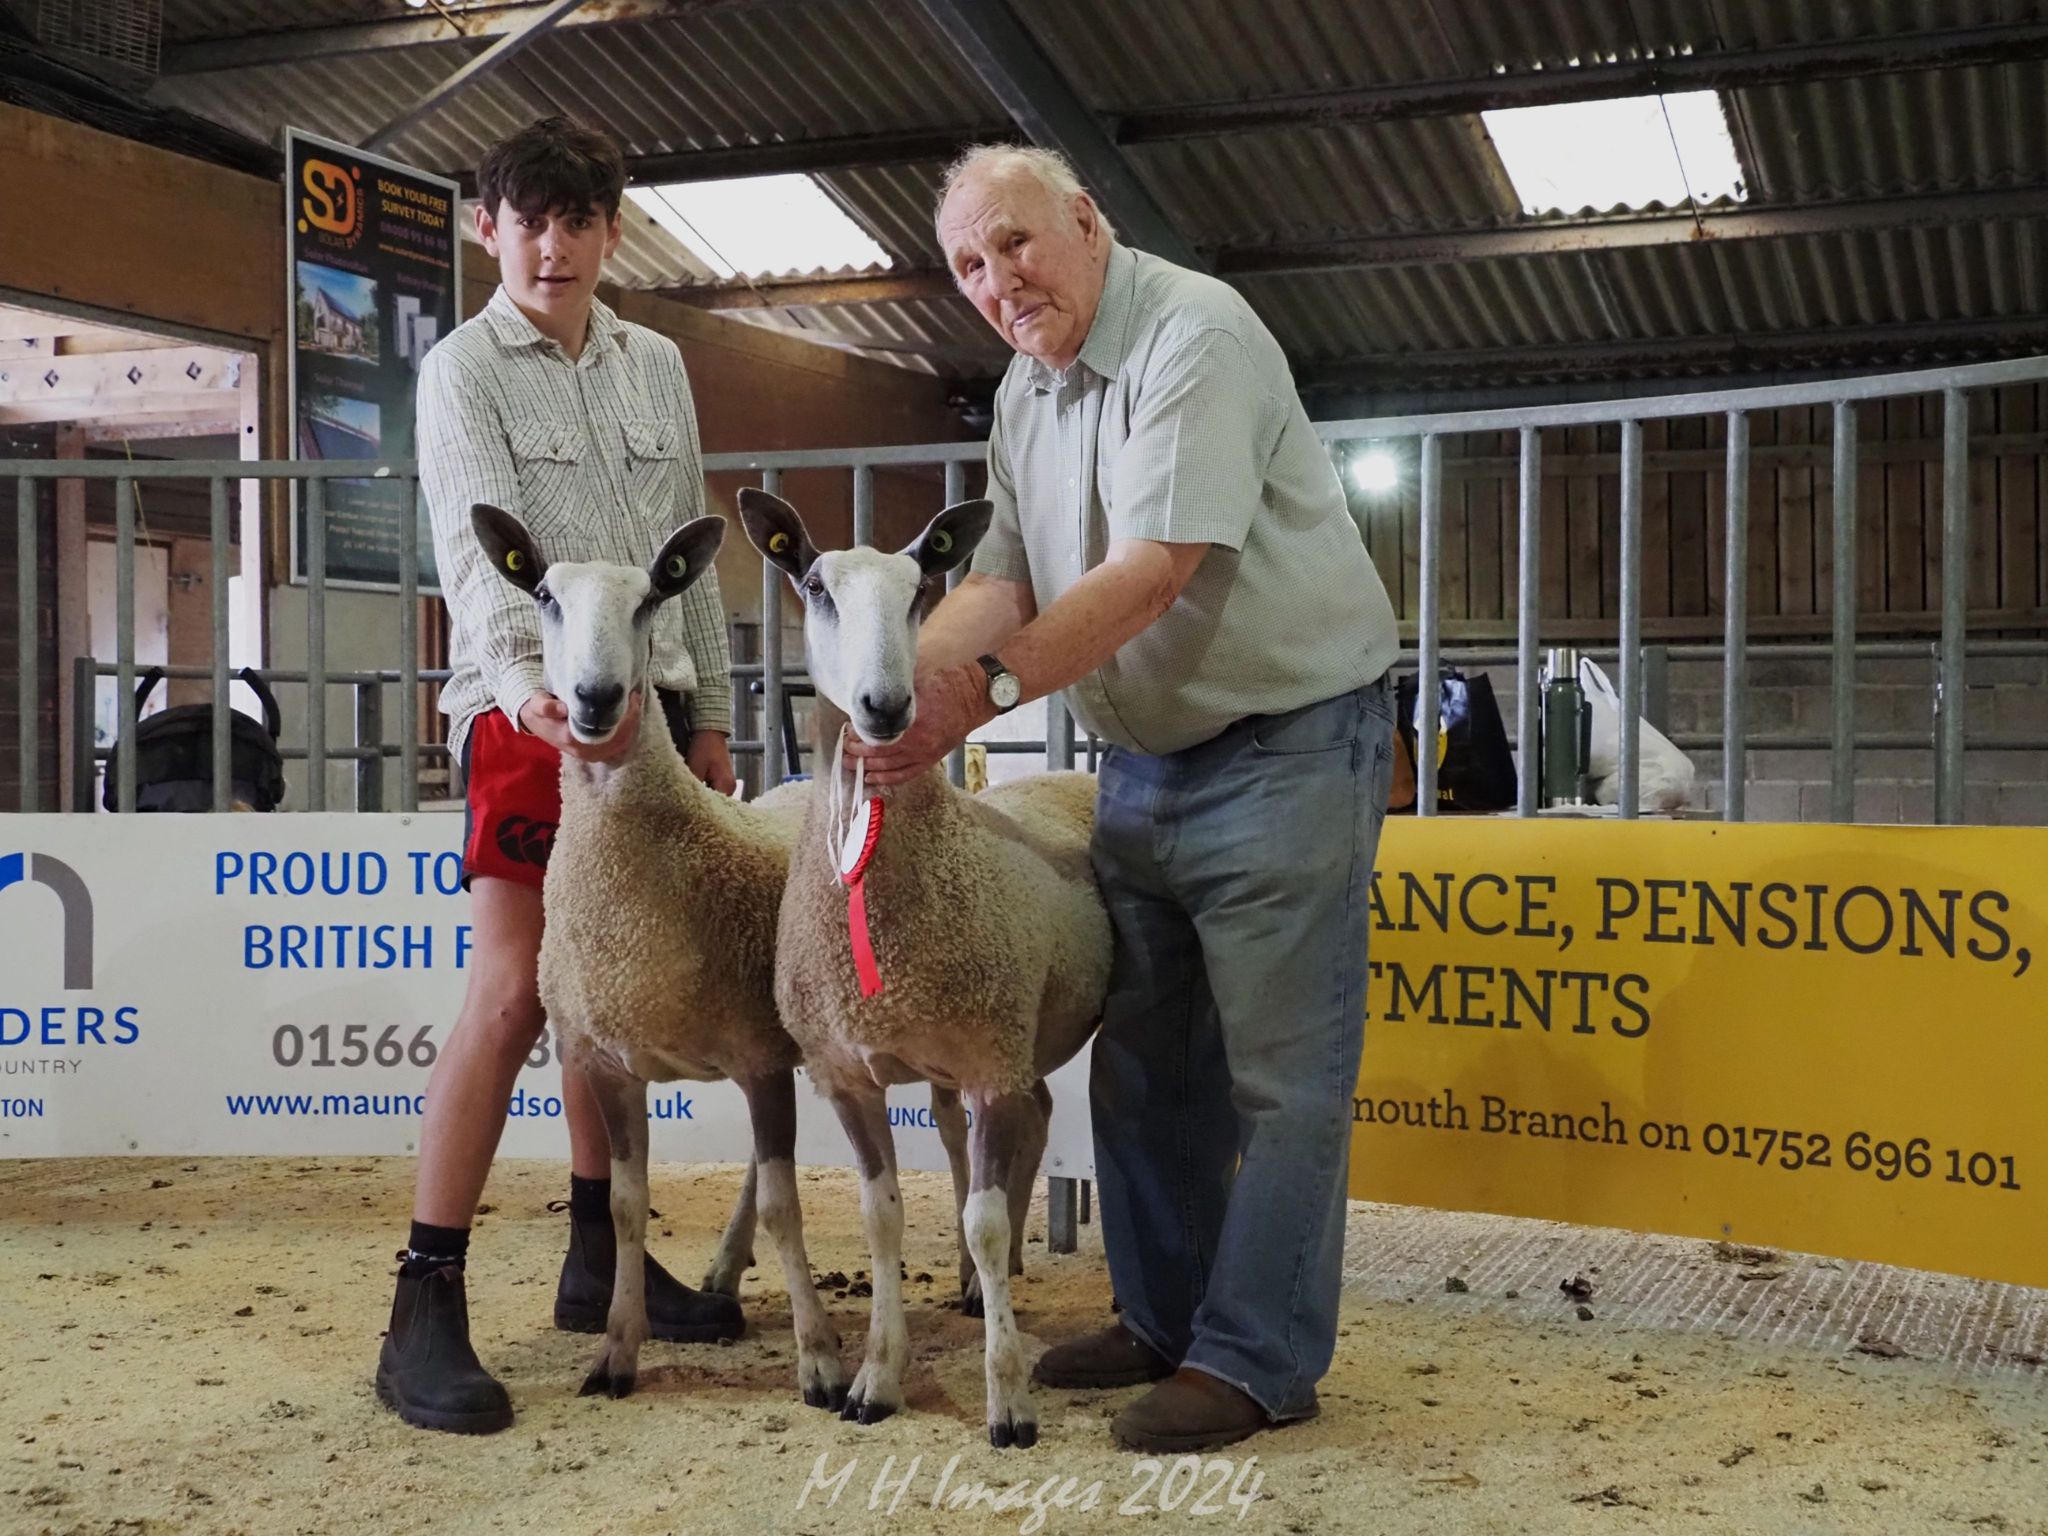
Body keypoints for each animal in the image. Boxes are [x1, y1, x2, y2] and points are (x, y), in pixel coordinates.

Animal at [471, 501, 847, 1409]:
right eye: (544, 595)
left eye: (648, 600)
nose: (597, 697)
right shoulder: (612, 1064)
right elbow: (625, 1210)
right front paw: (617, 1350)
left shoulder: (756, 1058)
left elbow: (788, 1206)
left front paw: (820, 1360)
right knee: (757, 1170)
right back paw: (723, 1271)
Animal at [741, 487, 1114, 1449]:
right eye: (816, 585)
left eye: (919, 591)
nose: (885, 705)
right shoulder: (847, 1072)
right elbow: (882, 1220)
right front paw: (874, 1378)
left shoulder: (988, 1060)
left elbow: (979, 1218)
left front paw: (1008, 1398)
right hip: (993, 1041)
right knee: (1018, 1122)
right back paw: (986, 1285)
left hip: (1016, 1035)